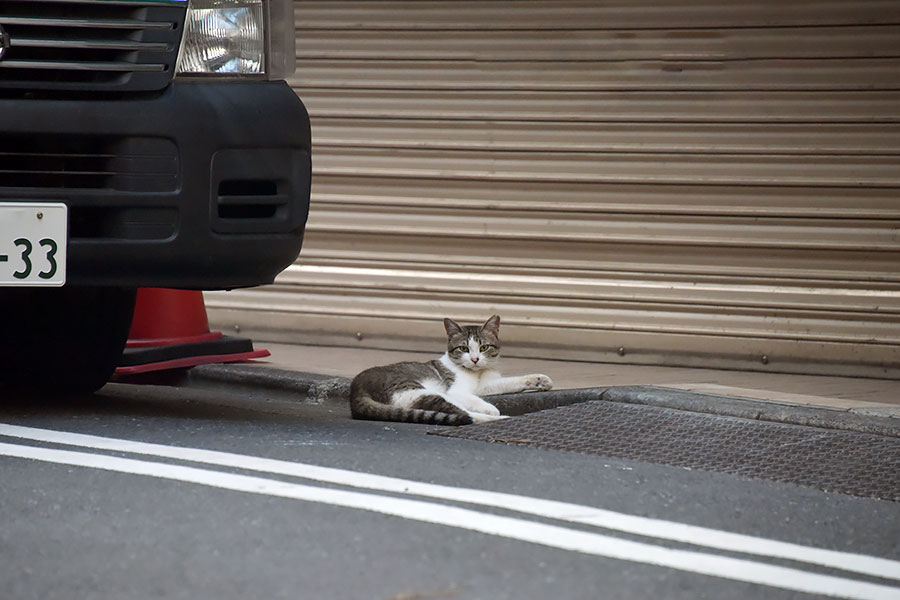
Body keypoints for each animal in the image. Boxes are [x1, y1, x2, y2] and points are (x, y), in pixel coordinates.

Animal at [348, 314, 552, 426]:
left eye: (484, 347)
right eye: (464, 348)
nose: (475, 359)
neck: (475, 373)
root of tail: (357, 390)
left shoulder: (485, 386)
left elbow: (509, 382)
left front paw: (539, 381)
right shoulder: (456, 390)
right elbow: (474, 400)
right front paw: (490, 408)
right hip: (418, 391)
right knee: (463, 414)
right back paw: (501, 418)